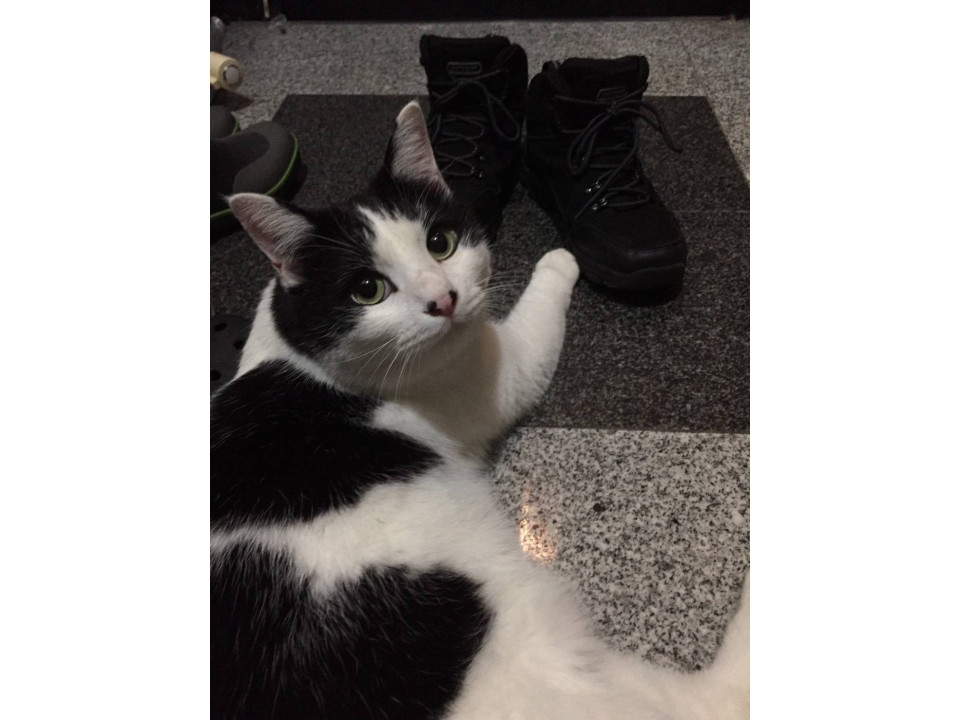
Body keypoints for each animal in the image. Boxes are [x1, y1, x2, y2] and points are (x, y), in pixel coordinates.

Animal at [211, 101, 749, 720]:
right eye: (367, 289)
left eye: (440, 242)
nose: (442, 299)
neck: (303, 357)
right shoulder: (501, 371)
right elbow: (538, 317)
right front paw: (559, 260)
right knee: (716, 698)